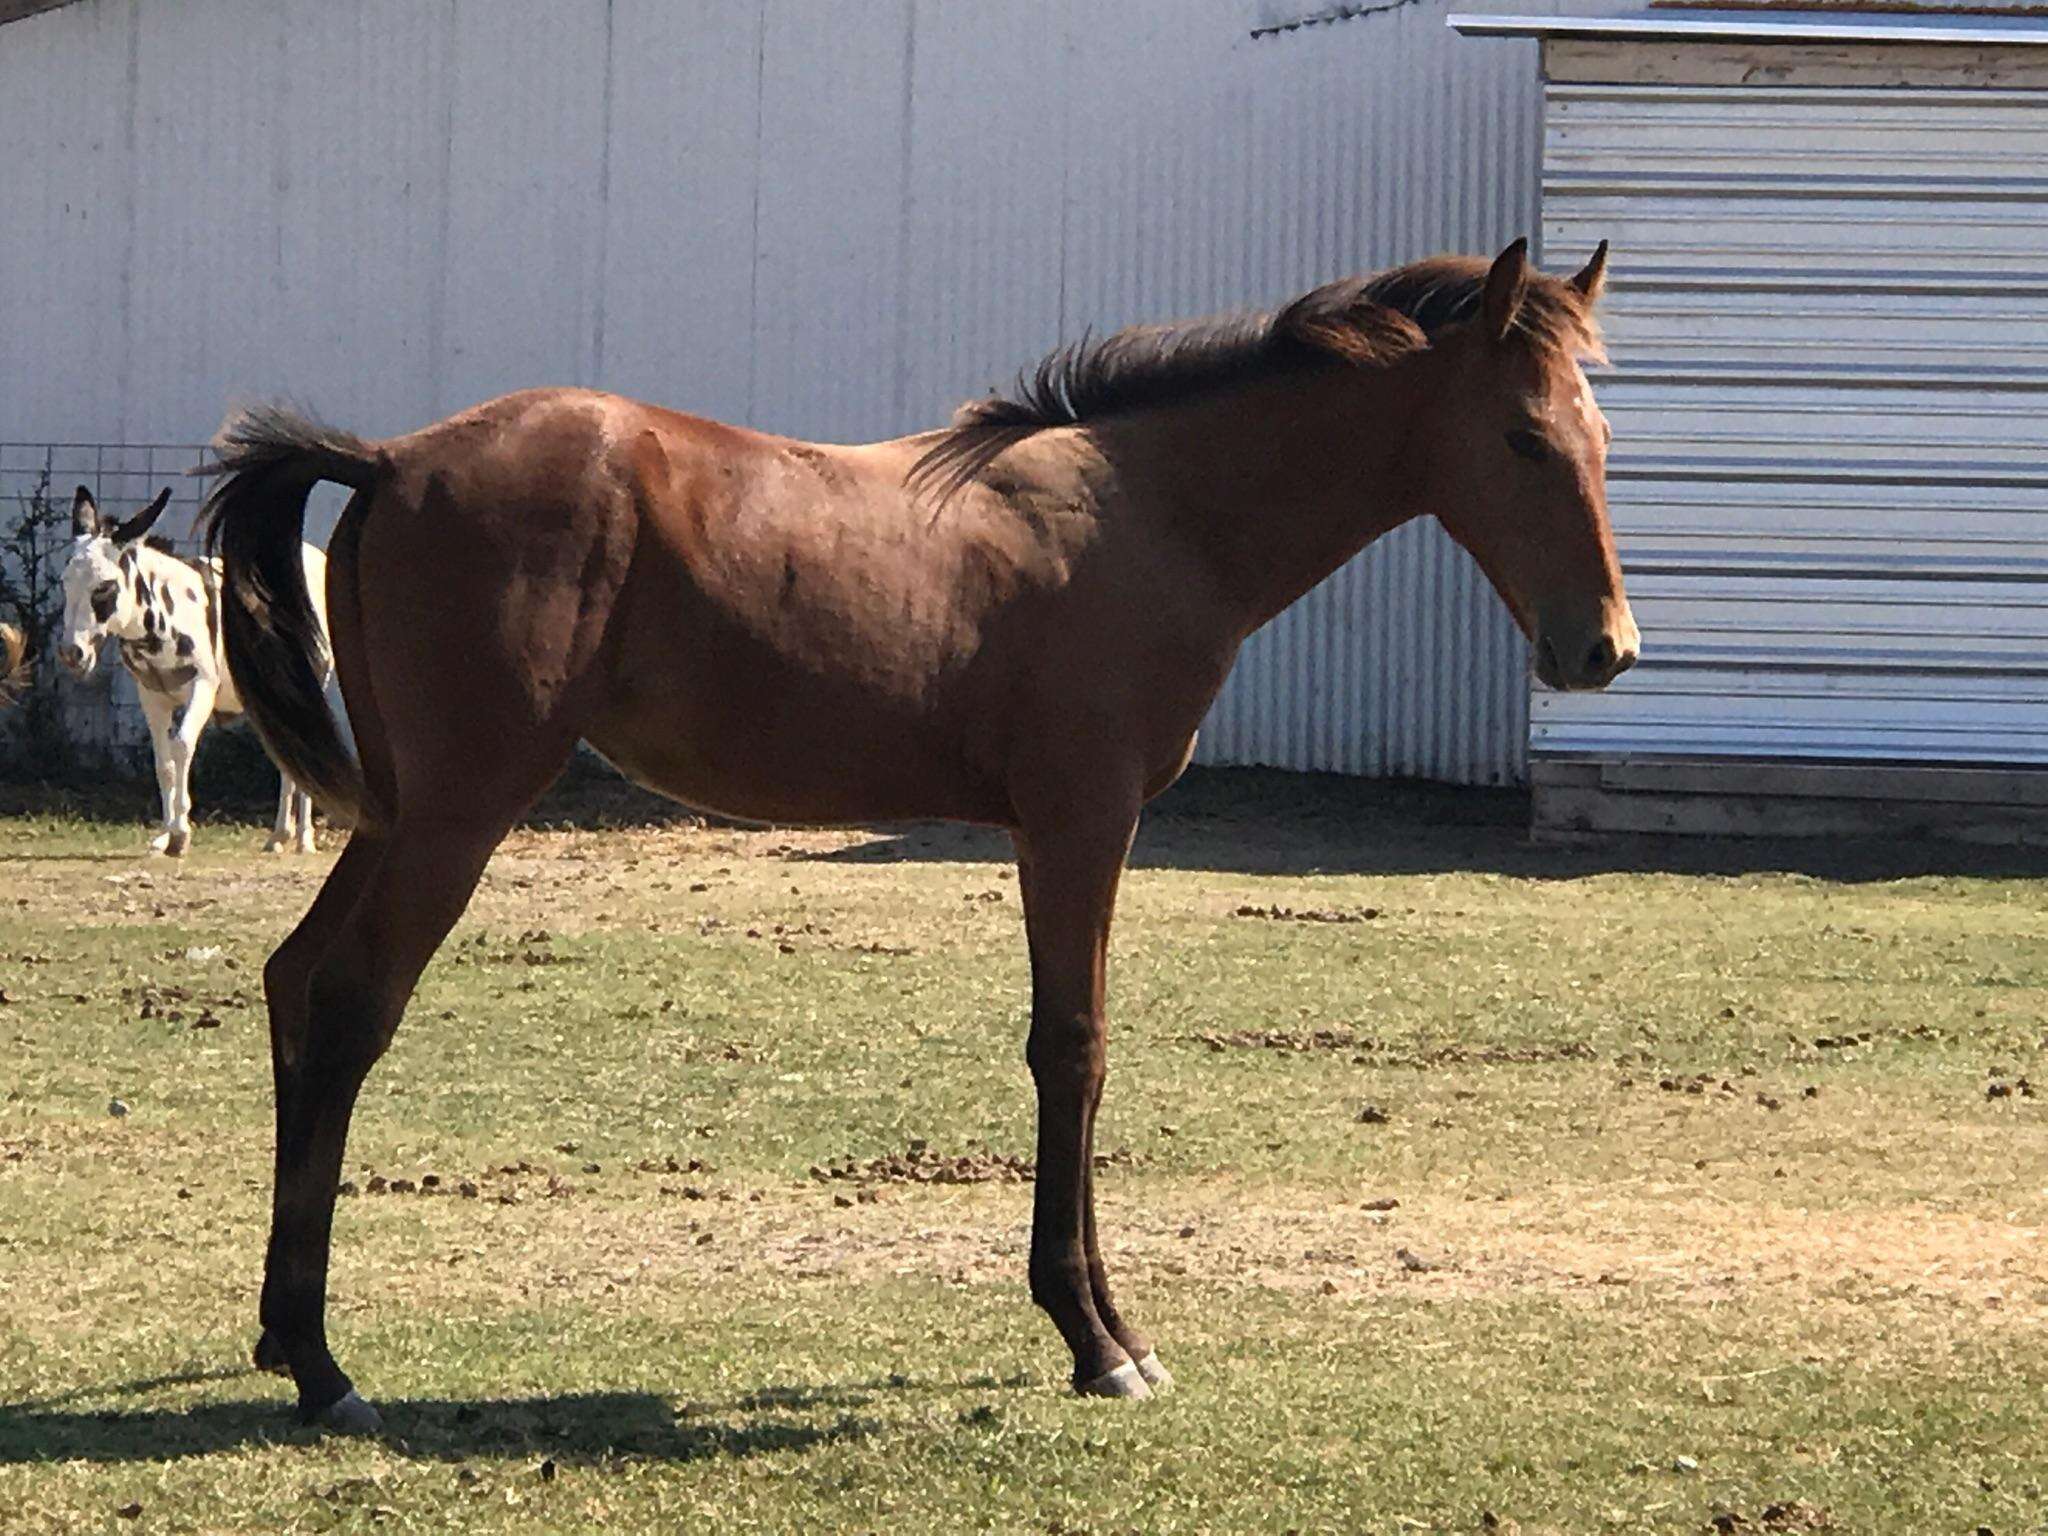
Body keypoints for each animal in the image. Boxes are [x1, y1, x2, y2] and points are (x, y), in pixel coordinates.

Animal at [199, 234, 1638, 1441]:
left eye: (1599, 432)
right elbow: (1074, 1052)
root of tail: (389, 458)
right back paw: (322, 1366)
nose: (1605, 652)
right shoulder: (1078, 823)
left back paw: (277, 1335)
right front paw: (1097, 1341)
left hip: (399, 811)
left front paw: (1109, 1332)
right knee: (351, 1006)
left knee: (292, 978)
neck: (1152, 511)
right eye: (1522, 438)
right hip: (460, 815)